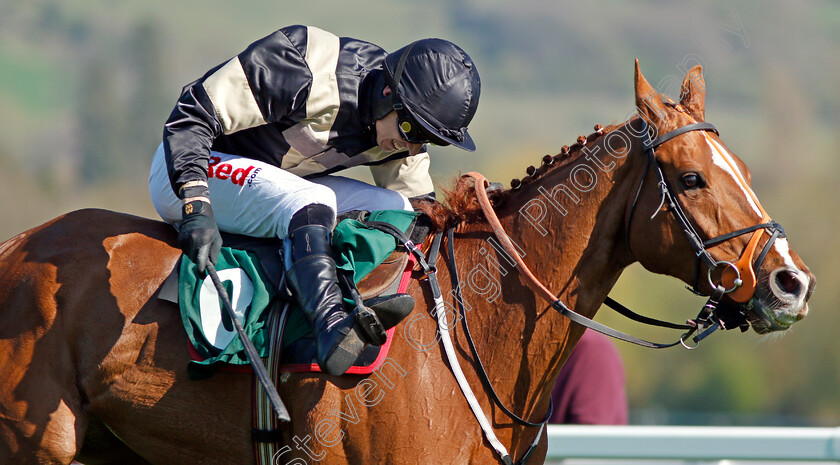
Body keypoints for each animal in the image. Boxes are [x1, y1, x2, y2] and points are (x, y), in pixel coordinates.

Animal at [0, 62, 812, 464]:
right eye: (693, 177)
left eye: (742, 168)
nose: (791, 282)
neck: (478, 326)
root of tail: (16, 247)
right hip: (36, 445)